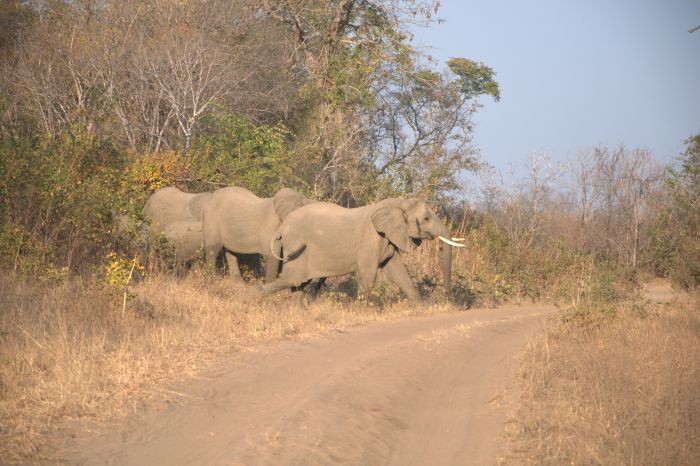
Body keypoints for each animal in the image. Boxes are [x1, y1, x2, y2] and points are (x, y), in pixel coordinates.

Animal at [262, 198, 464, 300]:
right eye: (426, 219)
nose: (448, 296)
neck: (396, 203)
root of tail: (281, 227)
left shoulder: (388, 239)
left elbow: (398, 272)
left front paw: (421, 307)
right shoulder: (371, 239)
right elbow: (368, 275)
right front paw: (359, 310)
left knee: (298, 284)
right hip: (297, 248)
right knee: (294, 279)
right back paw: (256, 296)